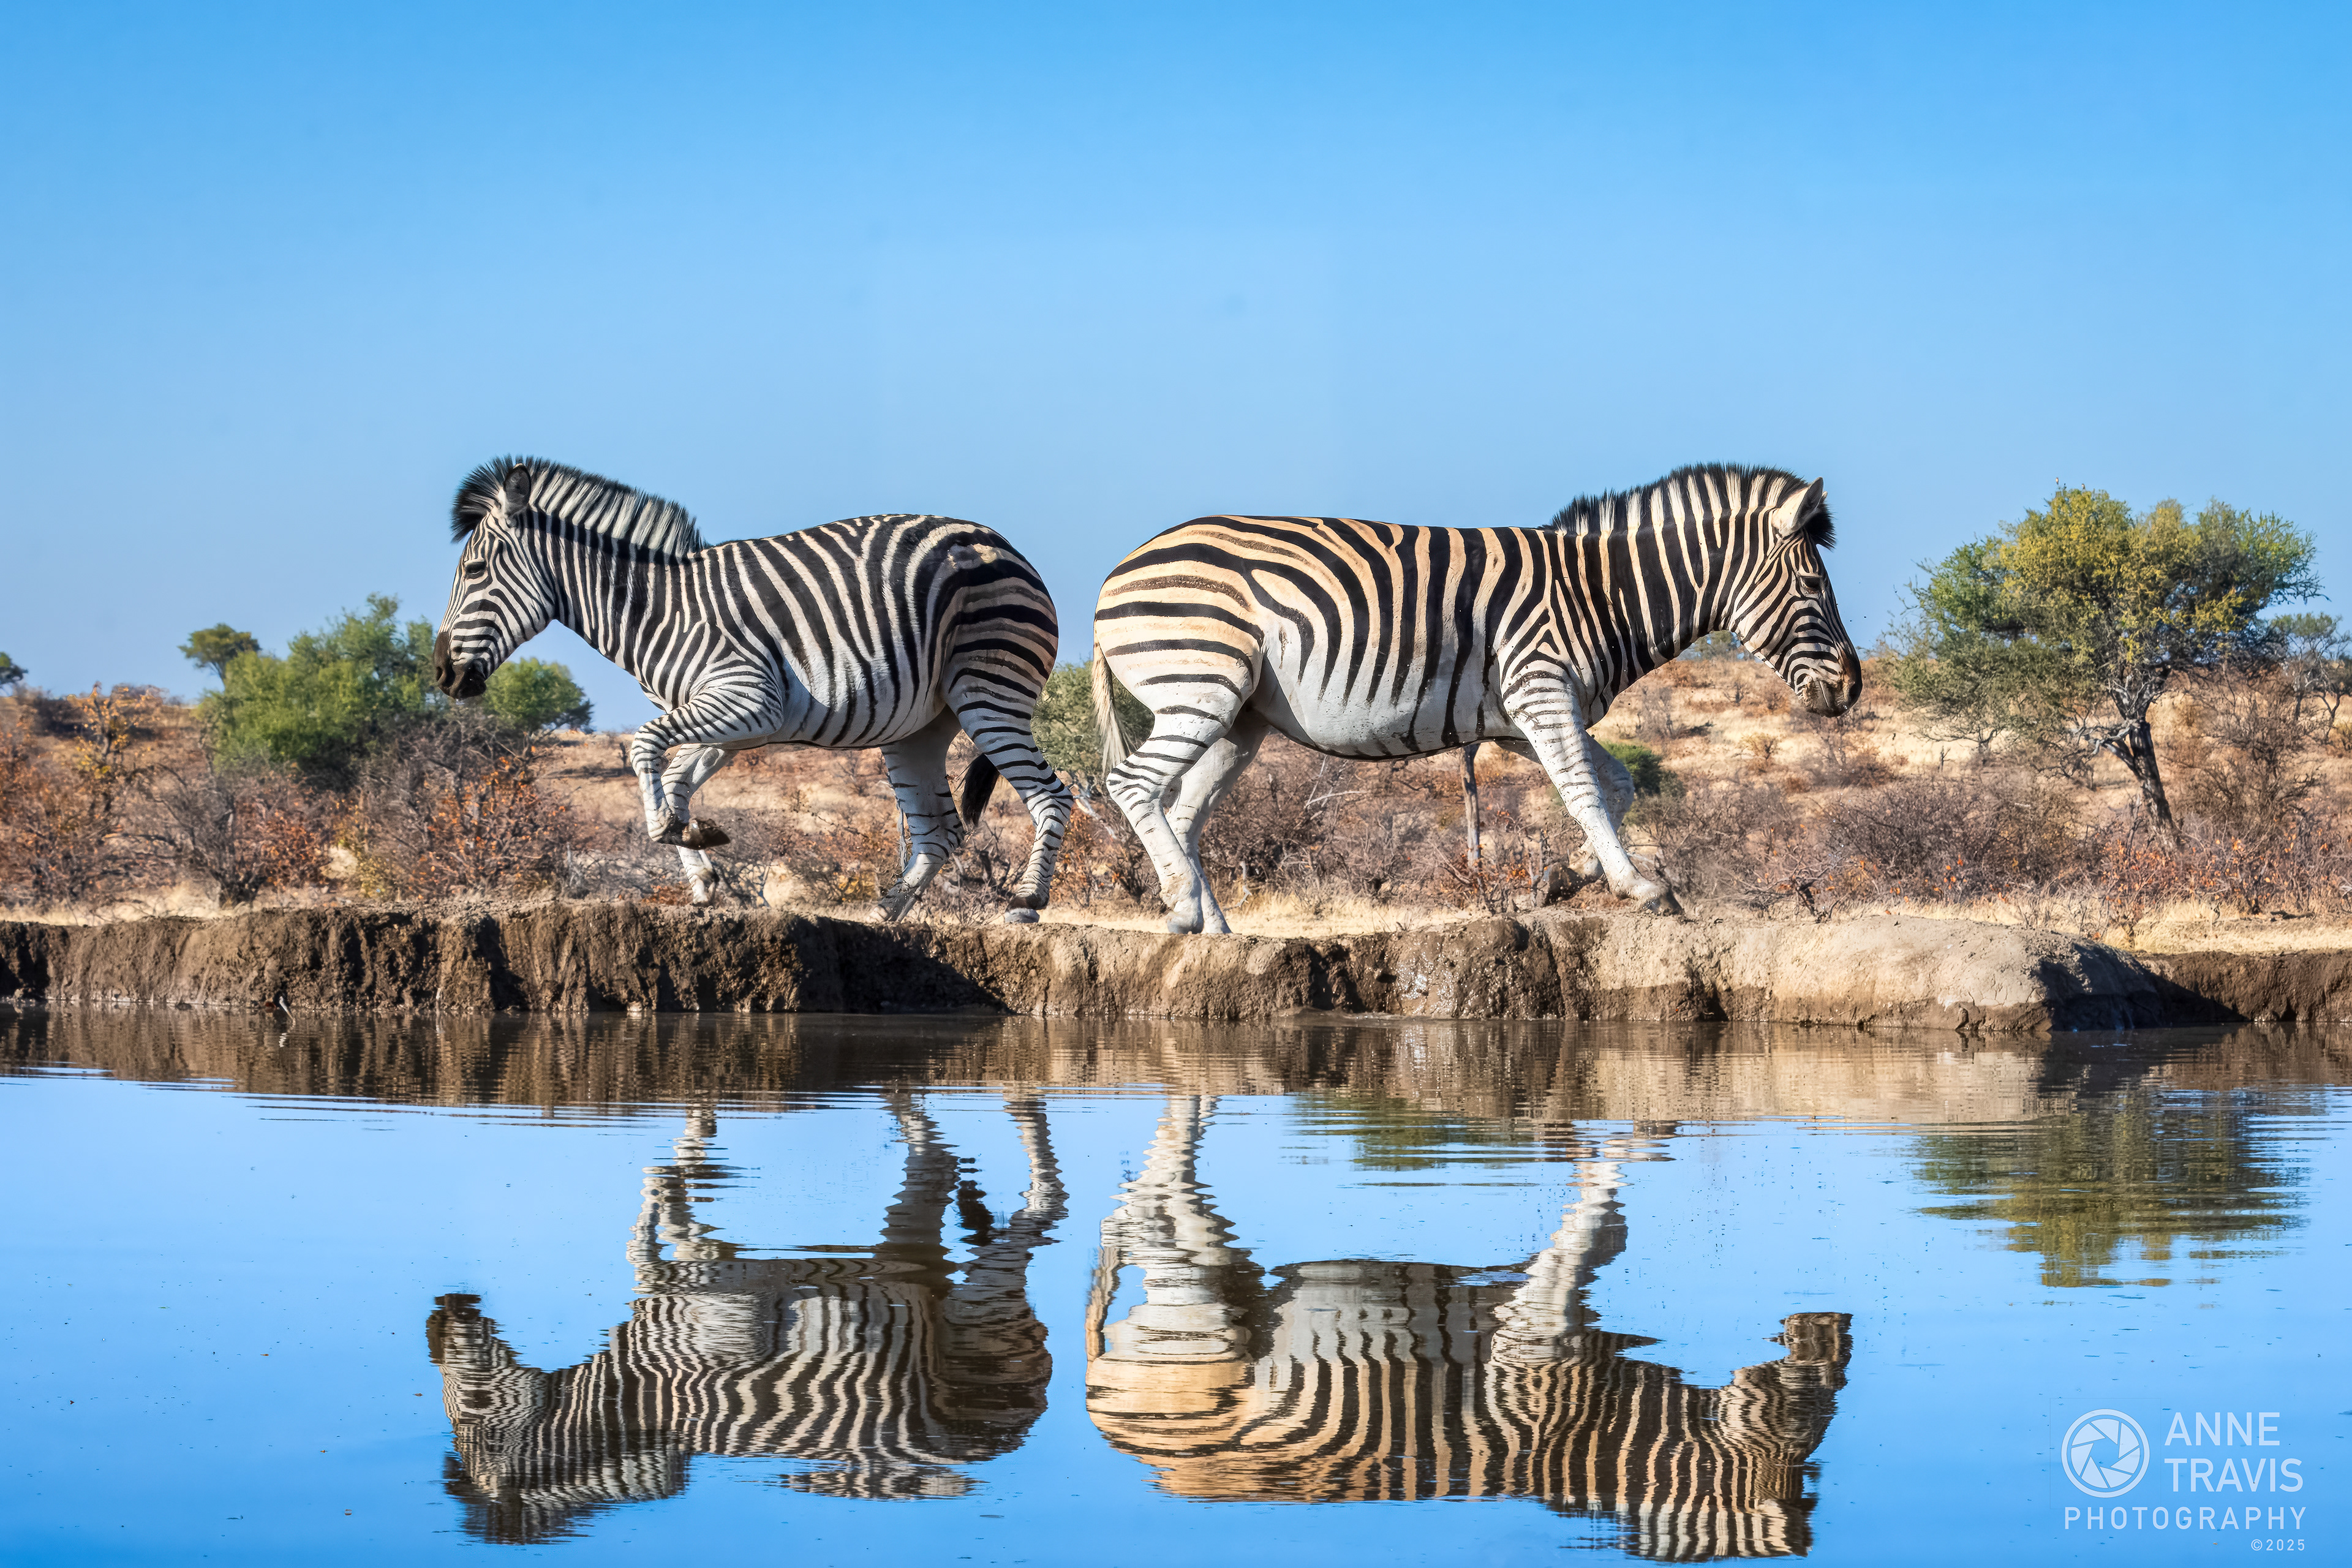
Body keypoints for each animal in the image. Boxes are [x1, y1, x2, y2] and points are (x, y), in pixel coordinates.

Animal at [430, 458, 1072, 918]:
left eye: (475, 572)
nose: (440, 674)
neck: (658, 610)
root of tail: (1003, 543)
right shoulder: (729, 726)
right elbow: (672, 778)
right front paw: (701, 868)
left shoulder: (747, 702)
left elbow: (642, 747)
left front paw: (675, 830)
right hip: (918, 727)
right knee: (939, 832)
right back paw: (883, 915)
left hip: (987, 690)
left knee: (1051, 796)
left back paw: (1026, 901)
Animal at [1089, 465, 1861, 932]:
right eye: (1813, 587)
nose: (1854, 687)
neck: (1600, 594)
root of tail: (1116, 573)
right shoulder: (1541, 688)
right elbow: (1585, 788)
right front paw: (1638, 885)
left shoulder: (1521, 717)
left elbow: (1618, 784)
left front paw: (1569, 878)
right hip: (1204, 687)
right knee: (1132, 784)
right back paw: (1182, 902)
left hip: (1240, 720)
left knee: (1183, 812)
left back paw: (1210, 923)